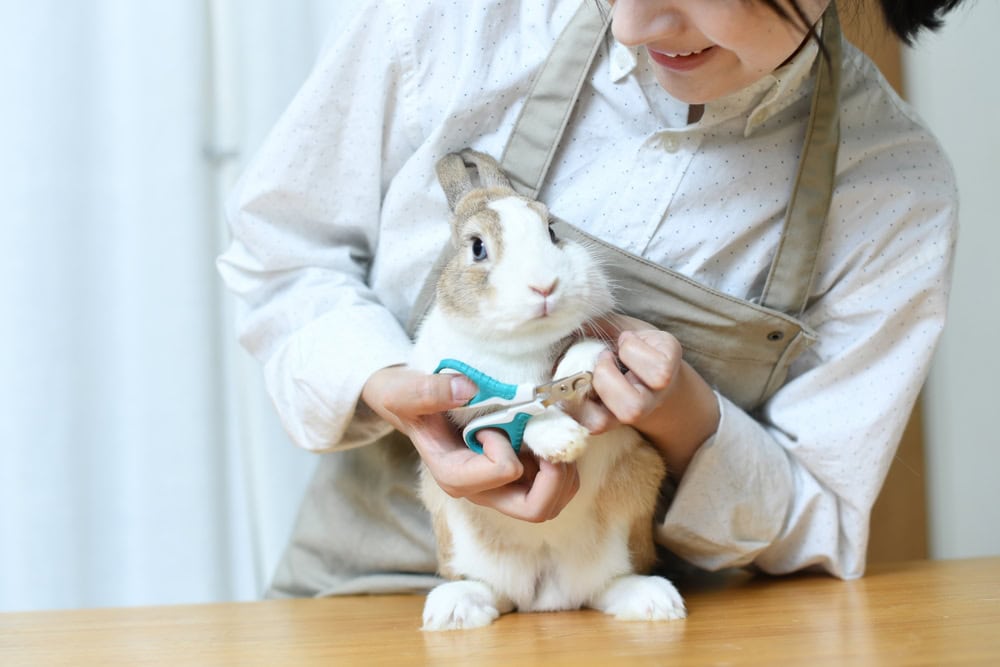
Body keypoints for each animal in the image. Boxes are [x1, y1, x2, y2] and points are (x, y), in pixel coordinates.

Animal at [410, 149, 686, 631]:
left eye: (553, 231)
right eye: (477, 247)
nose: (544, 286)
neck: (525, 344)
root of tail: (545, 595)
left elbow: (582, 353)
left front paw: (575, 375)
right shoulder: (467, 407)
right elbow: (517, 418)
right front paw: (563, 441)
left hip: (631, 512)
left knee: (607, 584)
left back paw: (655, 602)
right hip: (455, 527)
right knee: (490, 588)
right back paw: (454, 610)